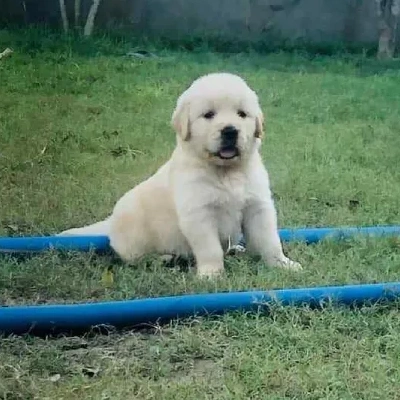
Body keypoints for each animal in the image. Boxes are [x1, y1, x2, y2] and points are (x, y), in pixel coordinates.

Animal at [60, 72, 300, 276]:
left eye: (242, 114)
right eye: (209, 115)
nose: (230, 131)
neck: (226, 171)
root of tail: (110, 223)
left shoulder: (258, 207)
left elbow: (270, 241)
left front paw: (283, 264)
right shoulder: (198, 214)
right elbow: (210, 248)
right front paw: (212, 274)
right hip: (133, 232)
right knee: (134, 257)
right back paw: (164, 258)